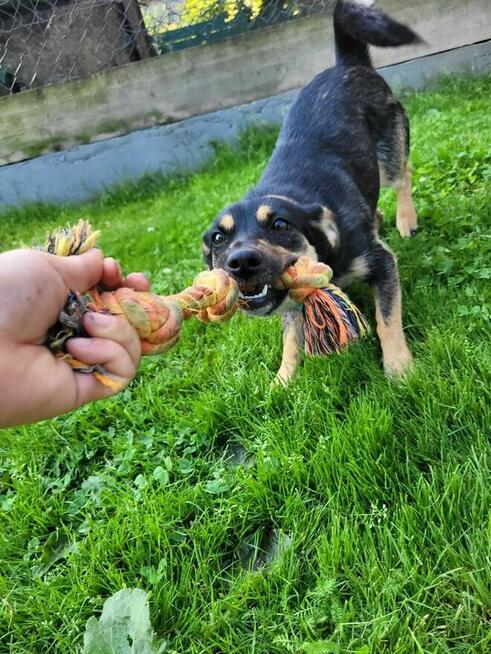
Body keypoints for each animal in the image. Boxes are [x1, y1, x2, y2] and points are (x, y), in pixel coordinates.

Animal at [202, 0, 420, 386]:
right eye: (218, 238)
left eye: (279, 225)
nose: (240, 263)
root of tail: (347, 63)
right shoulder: (287, 296)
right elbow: (291, 337)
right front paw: (284, 380)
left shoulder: (381, 263)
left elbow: (386, 321)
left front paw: (398, 369)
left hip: (390, 149)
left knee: (402, 176)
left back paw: (406, 219)